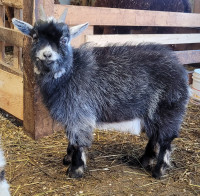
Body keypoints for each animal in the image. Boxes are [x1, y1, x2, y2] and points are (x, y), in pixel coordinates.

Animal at [11, 10, 190, 179]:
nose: (47, 54)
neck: (71, 71)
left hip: (168, 108)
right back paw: (145, 160)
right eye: (35, 37)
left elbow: (78, 141)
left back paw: (158, 171)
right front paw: (67, 159)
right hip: (153, 113)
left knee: (165, 139)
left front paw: (75, 170)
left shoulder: (79, 113)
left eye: (64, 39)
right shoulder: (71, 114)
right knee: (154, 135)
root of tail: (180, 69)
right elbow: (70, 137)